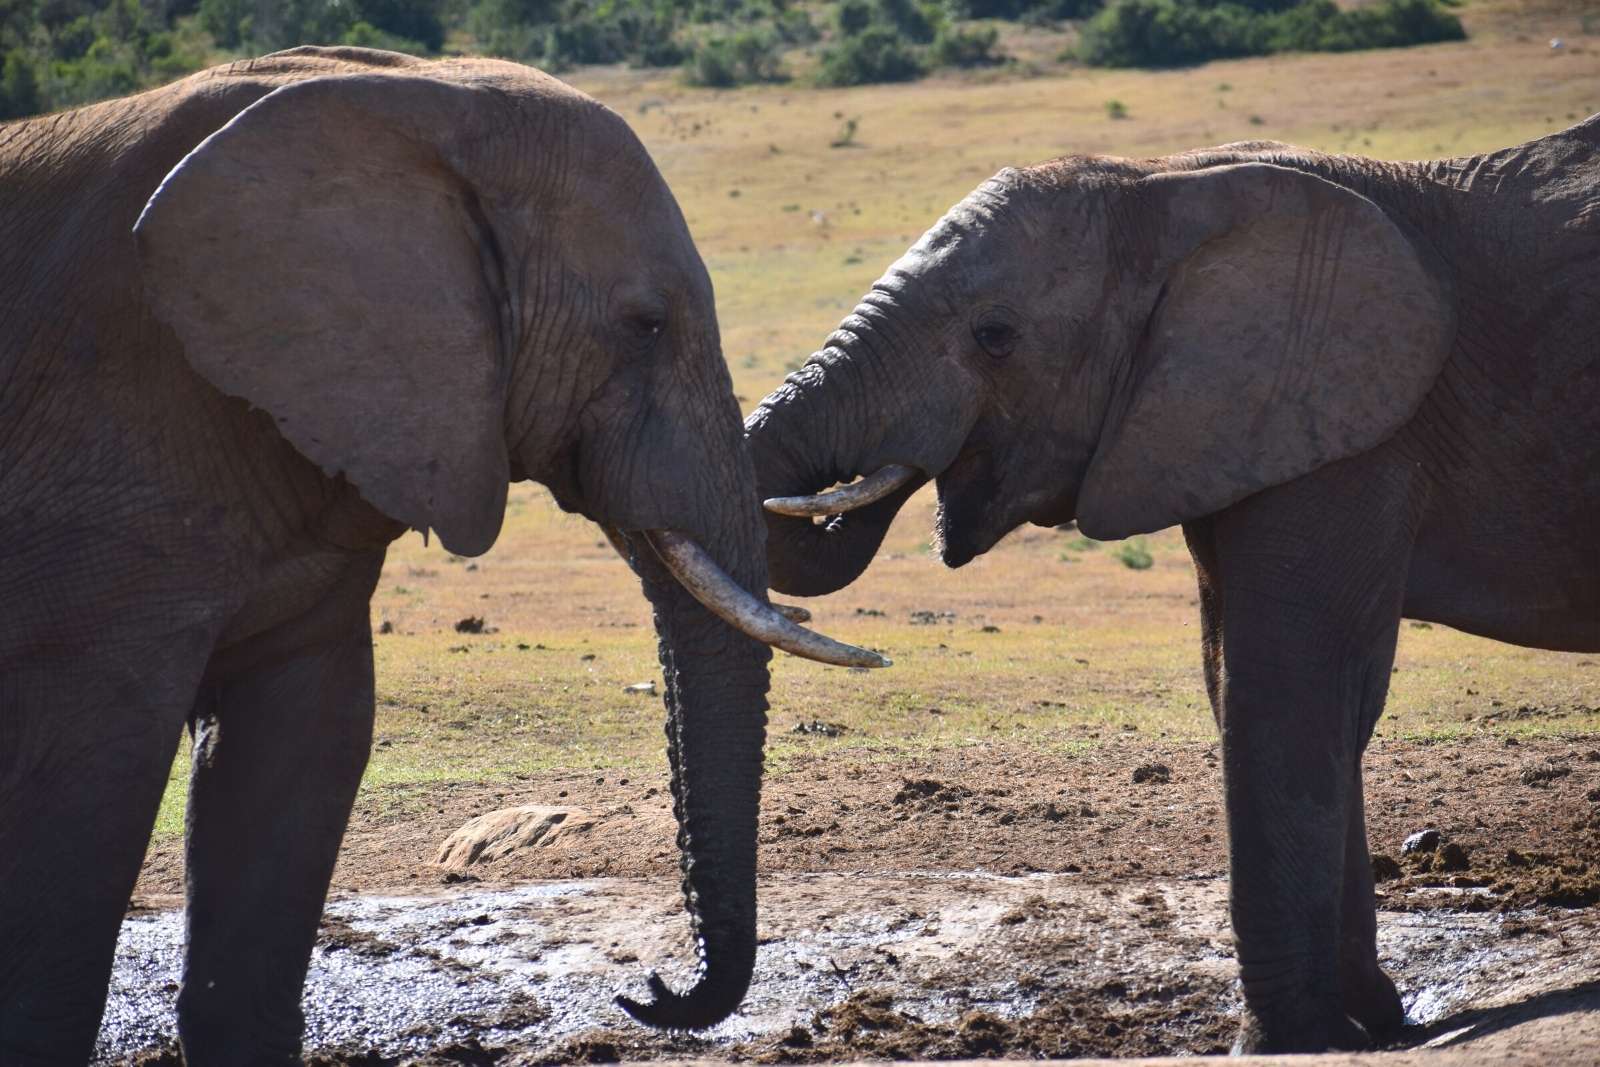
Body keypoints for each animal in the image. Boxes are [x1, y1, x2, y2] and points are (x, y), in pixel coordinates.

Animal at [0, 46, 885, 1065]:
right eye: (646, 324)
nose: (650, 987)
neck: (416, 98)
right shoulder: (113, 429)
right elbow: (84, 774)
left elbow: (303, 739)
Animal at [745, 122, 1600, 1053]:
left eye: (995, 335)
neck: (1171, 184)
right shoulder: (1241, 427)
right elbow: (1259, 686)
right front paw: (1370, 1020)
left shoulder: (1348, 427)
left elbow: (1287, 687)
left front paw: (1290, 1038)